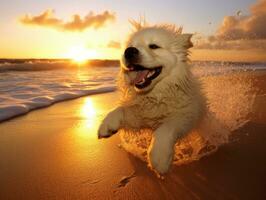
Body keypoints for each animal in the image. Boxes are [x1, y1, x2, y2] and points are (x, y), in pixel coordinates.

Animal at [97, 23, 206, 173]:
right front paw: (107, 124)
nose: (129, 51)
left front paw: (159, 157)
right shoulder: (140, 114)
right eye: (130, 46)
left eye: (154, 46)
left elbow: (166, 128)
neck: (155, 94)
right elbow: (120, 109)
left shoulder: (186, 115)